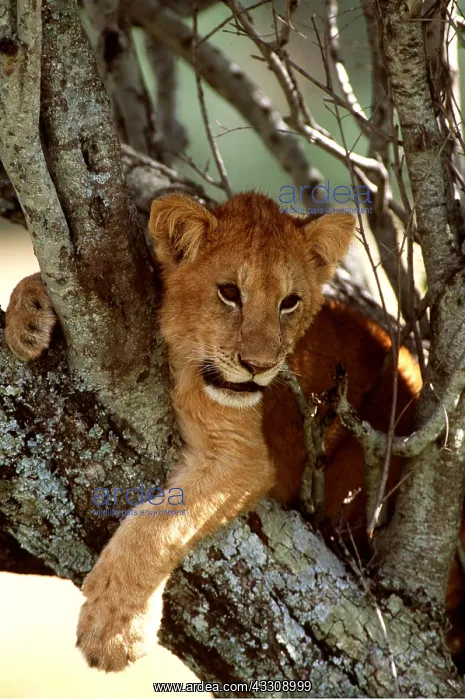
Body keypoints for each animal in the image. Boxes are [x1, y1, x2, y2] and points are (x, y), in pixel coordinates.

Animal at [5, 191, 464, 671]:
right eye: (229, 293)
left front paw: (114, 629)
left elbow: (161, 524)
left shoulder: (245, 457)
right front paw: (27, 318)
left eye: (289, 302)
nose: (258, 366)